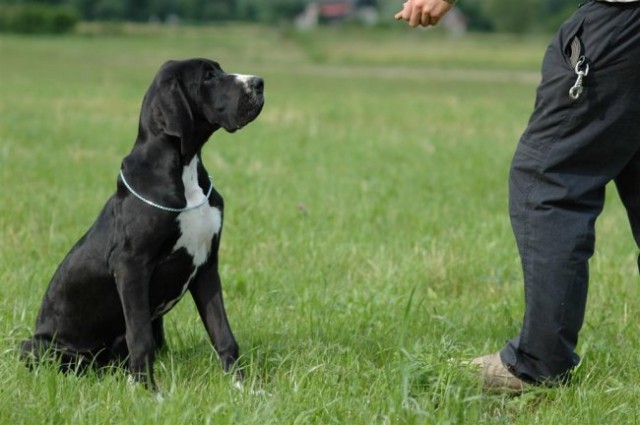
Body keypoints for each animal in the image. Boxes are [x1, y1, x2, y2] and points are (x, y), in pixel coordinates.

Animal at [20, 58, 264, 390]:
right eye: (209, 76)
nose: (259, 82)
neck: (184, 169)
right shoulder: (131, 266)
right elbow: (140, 338)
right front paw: (149, 393)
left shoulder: (206, 265)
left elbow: (223, 334)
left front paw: (242, 388)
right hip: (35, 347)